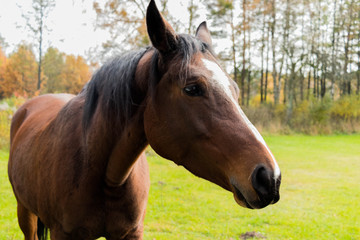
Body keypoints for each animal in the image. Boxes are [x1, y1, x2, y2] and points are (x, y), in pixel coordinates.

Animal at [6, 0, 282, 239]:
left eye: (235, 89)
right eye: (192, 88)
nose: (269, 177)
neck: (104, 174)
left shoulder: (131, 233)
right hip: (25, 212)